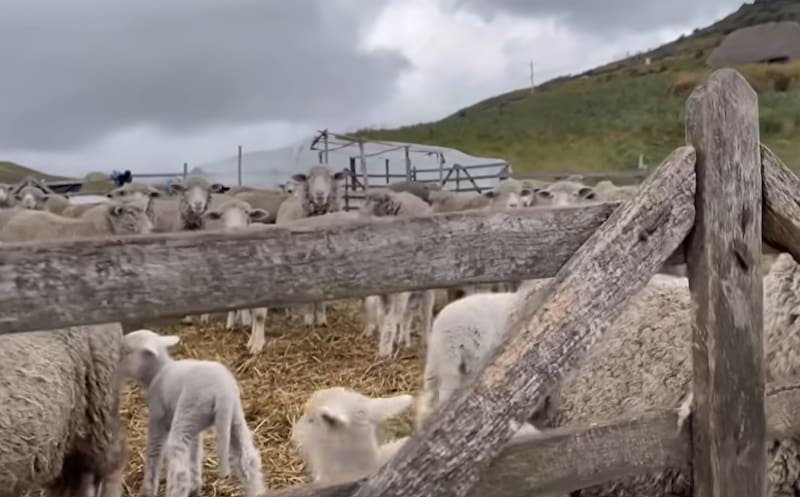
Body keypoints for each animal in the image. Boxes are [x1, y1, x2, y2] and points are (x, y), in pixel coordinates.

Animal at [120, 329, 266, 497]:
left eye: (127, 352)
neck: (157, 372)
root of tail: (221, 391)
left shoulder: (157, 416)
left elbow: (154, 452)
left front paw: (147, 490)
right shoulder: (195, 428)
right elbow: (194, 453)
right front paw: (195, 486)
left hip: (187, 414)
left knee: (180, 471)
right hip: (229, 417)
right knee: (249, 459)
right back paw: (257, 491)